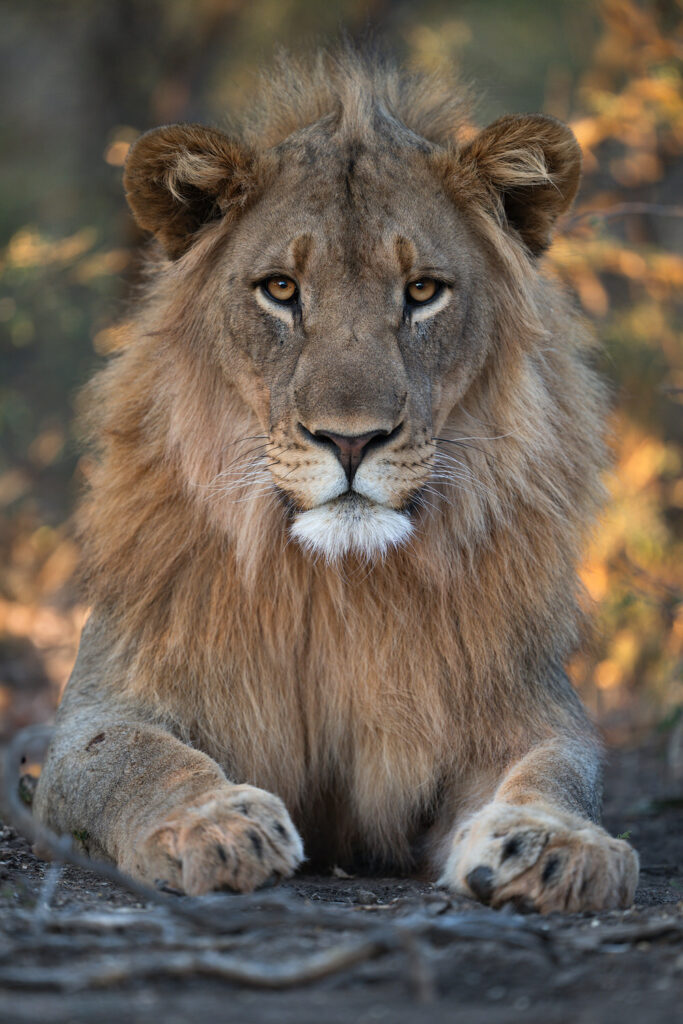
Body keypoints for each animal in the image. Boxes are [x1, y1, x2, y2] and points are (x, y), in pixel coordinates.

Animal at [34, 50, 639, 913]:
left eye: (421, 291)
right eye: (281, 289)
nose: (350, 439)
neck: (337, 589)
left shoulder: (523, 707)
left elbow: (556, 771)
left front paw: (555, 845)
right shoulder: (100, 706)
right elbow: (133, 761)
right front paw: (214, 826)